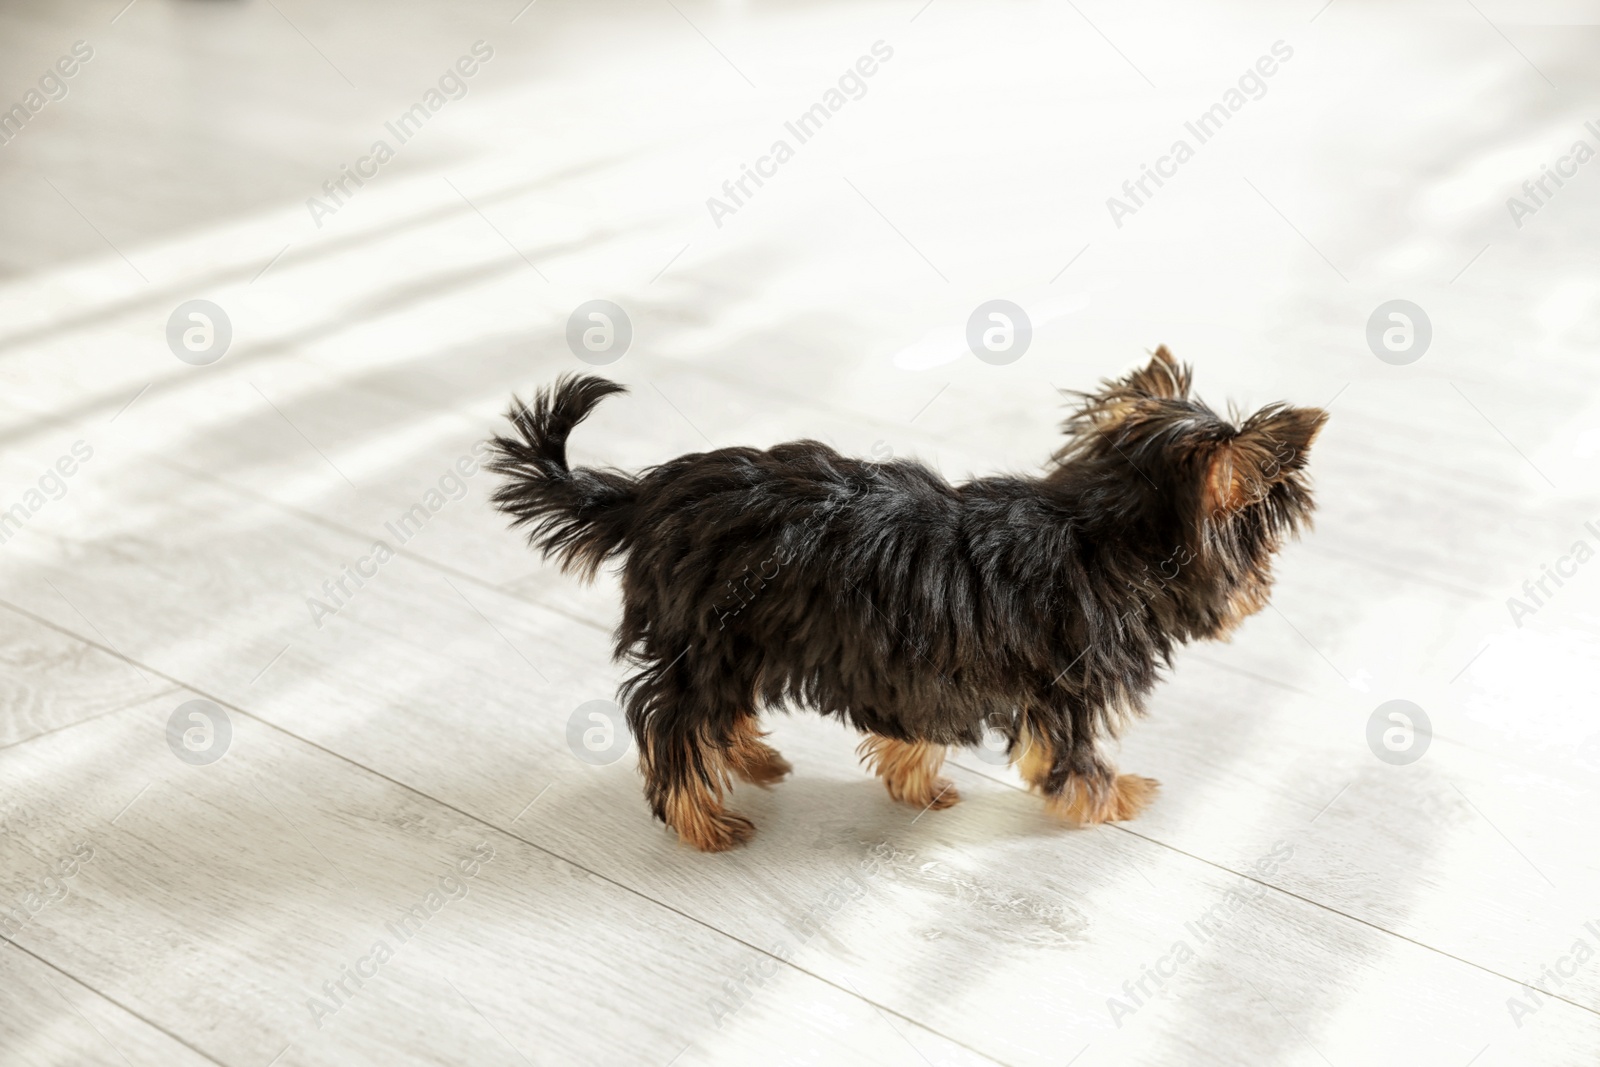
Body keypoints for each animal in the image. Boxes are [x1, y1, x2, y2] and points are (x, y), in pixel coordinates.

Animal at [483, 348, 1324, 851]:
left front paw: (915, 780)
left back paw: (752, 756)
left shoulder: (921, 663)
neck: (1102, 528)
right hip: (713, 635)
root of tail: (649, 494)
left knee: (709, 711)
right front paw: (1113, 798)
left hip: (737, 638)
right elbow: (1073, 754)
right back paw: (704, 819)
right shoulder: (1066, 683)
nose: (1265, 589)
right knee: (673, 719)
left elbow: (916, 727)